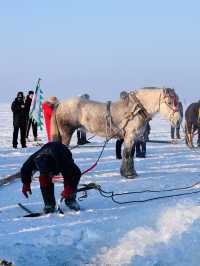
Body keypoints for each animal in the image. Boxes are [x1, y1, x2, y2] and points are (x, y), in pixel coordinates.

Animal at [50, 88, 180, 179]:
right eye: (169, 102)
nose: (178, 120)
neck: (136, 109)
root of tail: (59, 104)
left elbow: (129, 153)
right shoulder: (130, 136)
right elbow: (127, 154)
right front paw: (129, 174)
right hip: (66, 132)